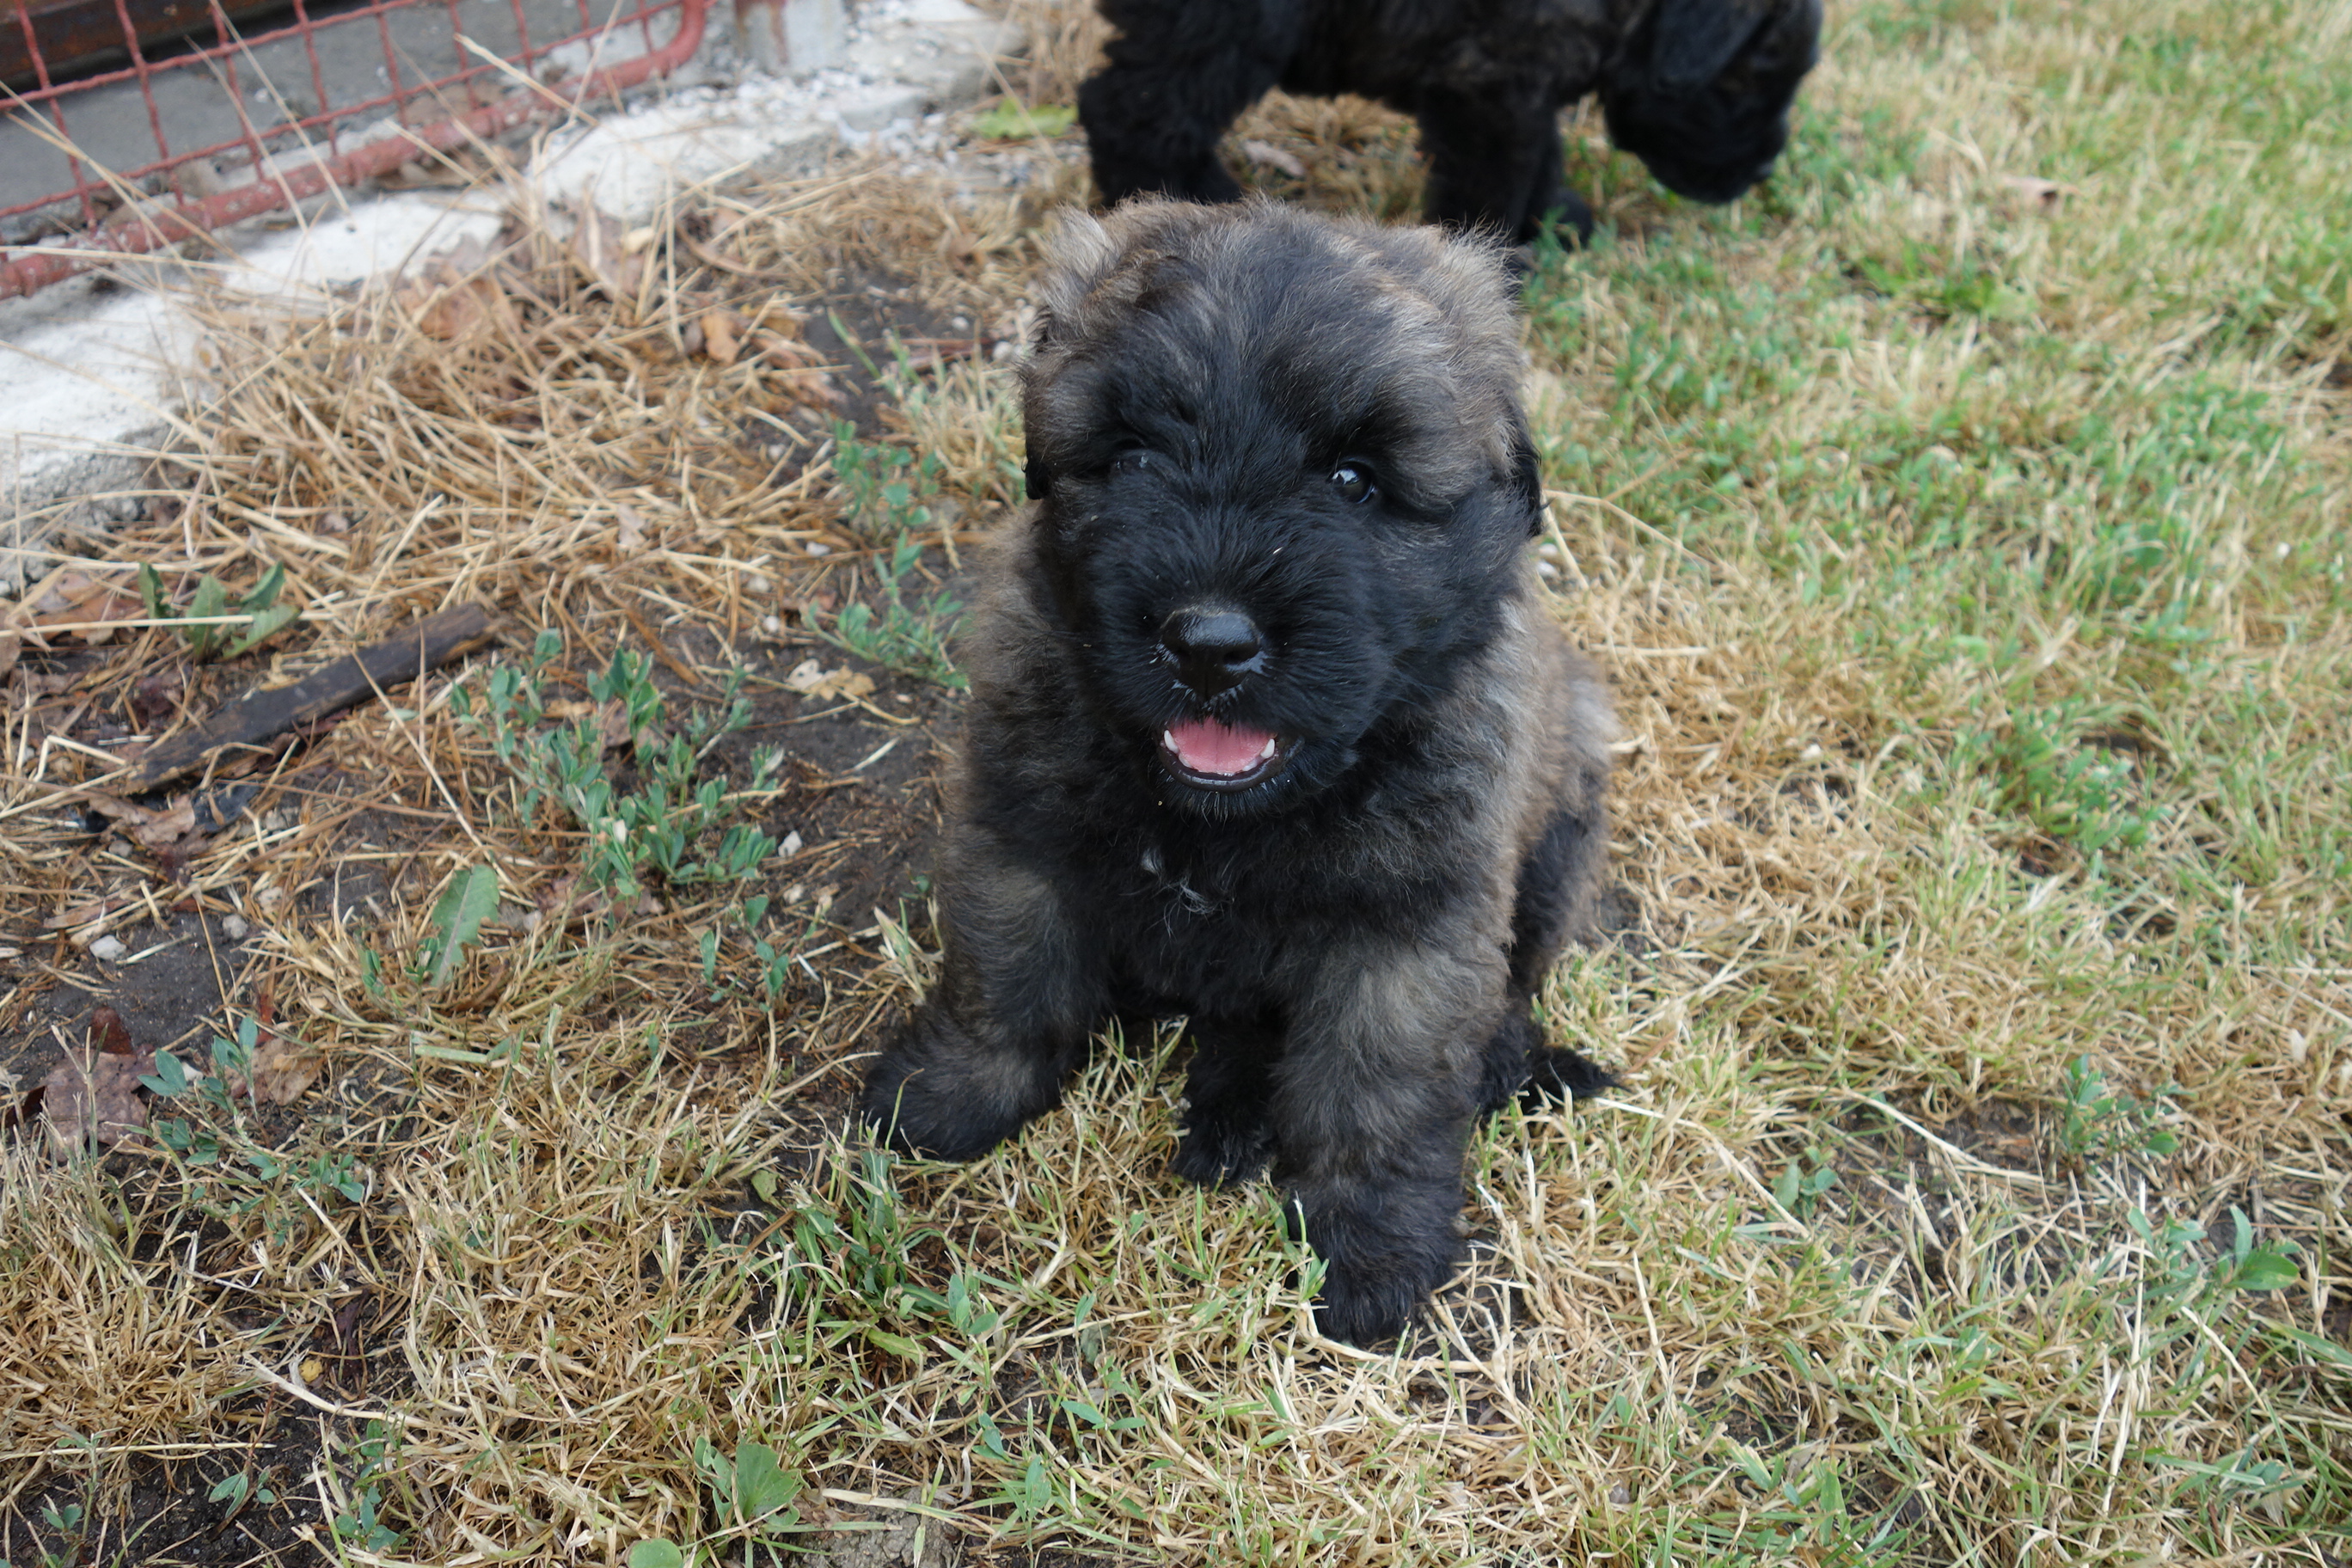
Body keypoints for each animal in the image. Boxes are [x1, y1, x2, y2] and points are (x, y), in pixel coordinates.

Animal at [859, 199, 1617, 1346]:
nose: (1209, 645)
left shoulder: (1410, 927)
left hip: (1565, 832)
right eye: (1131, 458)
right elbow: (1004, 981)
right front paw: (950, 1096)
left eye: (1353, 479)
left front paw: (1370, 1246)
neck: (1232, 819)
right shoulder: (1020, 833)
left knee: (1511, 982)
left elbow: (1377, 1088)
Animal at [1078, 0, 1823, 244]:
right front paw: (1500, 260)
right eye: (1751, 84)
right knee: (1134, 110)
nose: (1762, 169)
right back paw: (1197, 199)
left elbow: (1543, 154)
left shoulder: (1523, 85)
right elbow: (1493, 187)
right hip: (1227, 28)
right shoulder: (1487, 91)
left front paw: (1555, 220)